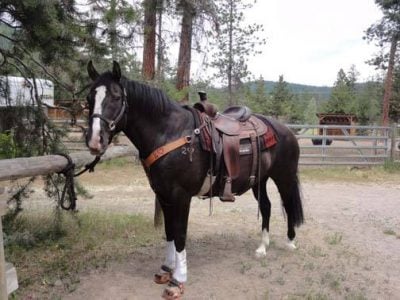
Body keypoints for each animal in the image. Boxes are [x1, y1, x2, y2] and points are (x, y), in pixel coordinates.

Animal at [84, 61, 304, 298]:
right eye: (89, 97)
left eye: (116, 97)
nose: (94, 140)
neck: (170, 132)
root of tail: (286, 130)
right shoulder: (163, 195)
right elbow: (169, 231)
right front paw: (167, 268)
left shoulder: (181, 196)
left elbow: (180, 234)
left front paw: (178, 280)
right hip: (260, 180)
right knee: (266, 207)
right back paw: (262, 247)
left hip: (284, 177)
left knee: (288, 205)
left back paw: (290, 242)